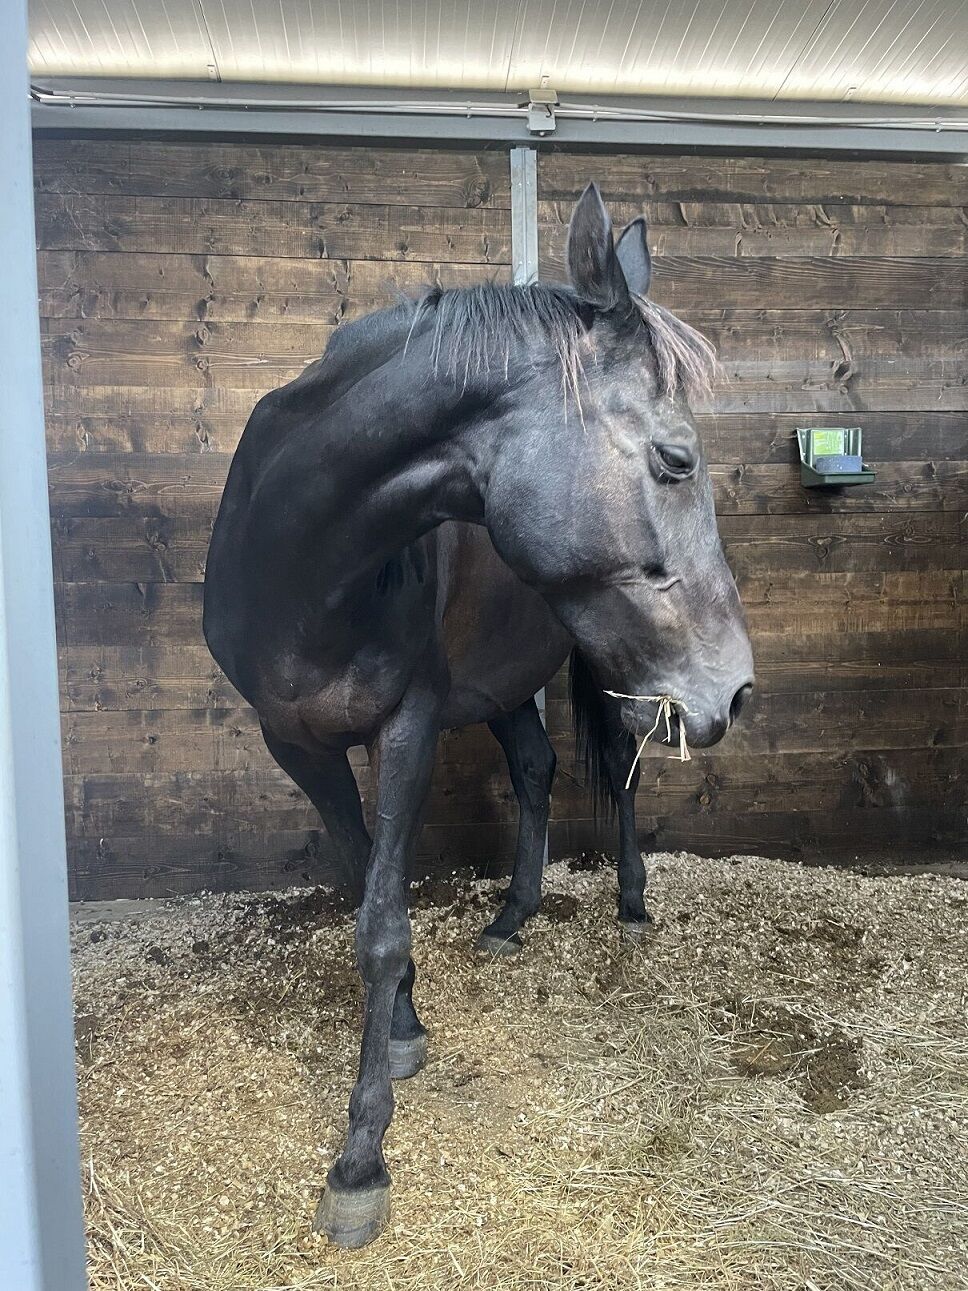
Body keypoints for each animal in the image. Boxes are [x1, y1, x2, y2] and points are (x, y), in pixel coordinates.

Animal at [203, 182, 754, 1247]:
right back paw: (512, 914)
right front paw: (405, 1027)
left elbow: (381, 920)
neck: (310, 566)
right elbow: (362, 890)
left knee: (619, 767)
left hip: (607, 667)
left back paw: (630, 901)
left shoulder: (407, 726)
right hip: (505, 683)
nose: (738, 689)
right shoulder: (296, 743)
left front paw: (361, 1157)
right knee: (537, 766)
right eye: (675, 459)